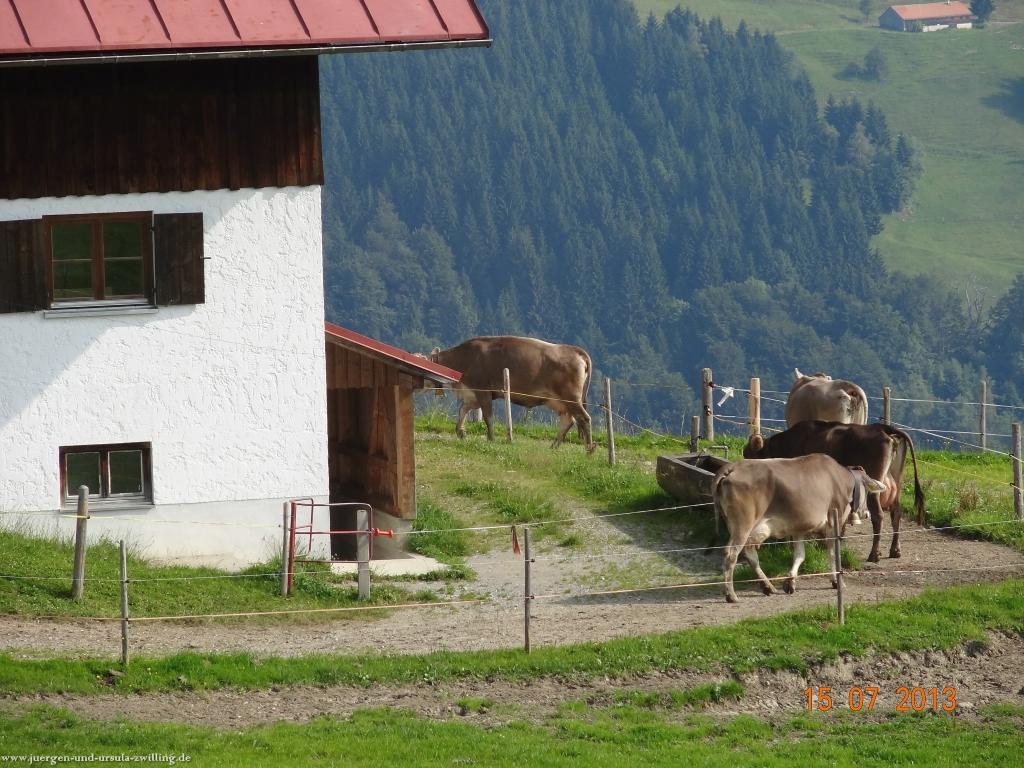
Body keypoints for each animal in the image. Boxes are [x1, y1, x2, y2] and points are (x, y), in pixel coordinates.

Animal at [429, 336, 597, 453]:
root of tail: (575, 350)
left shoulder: (482, 391)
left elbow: (488, 417)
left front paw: (491, 438)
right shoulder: (472, 395)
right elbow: (462, 410)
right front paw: (460, 432)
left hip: (571, 397)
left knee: (584, 418)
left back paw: (589, 449)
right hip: (556, 400)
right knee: (568, 421)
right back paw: (554, 446)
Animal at [714, 454, 886, 602]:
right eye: (868, 491)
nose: (866, 513)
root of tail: (733, 466)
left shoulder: (798, 529)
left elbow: (799, 555)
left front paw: (790, 582)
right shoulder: (833, 522)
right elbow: (833, 553)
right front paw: (837, 582)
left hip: (746, 527)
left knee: (750, 554)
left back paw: (768, 586)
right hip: (743, 524)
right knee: (731, 554)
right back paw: (731, 595)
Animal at [744, 421, 925, 563]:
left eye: (751, 458)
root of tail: (882, 428)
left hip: (874, 484)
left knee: (879, 516)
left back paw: (874, 554)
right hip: (896, 482)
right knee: (896, 512)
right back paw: (895, 550)